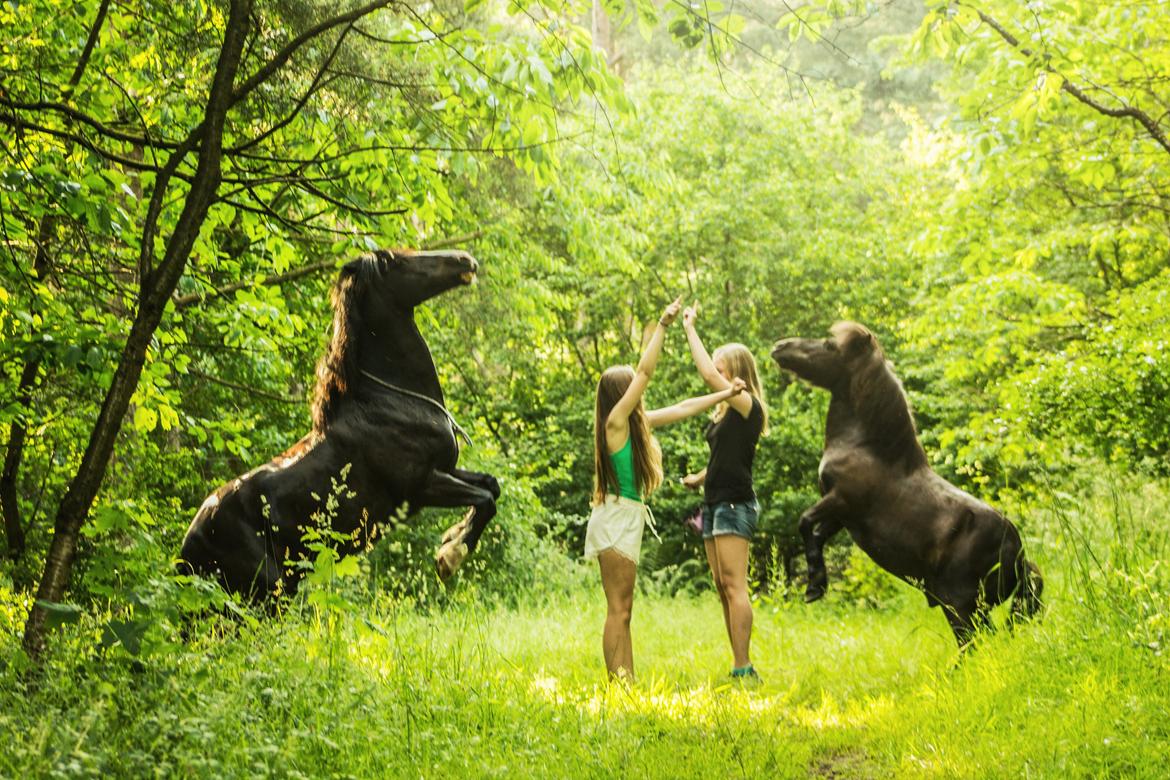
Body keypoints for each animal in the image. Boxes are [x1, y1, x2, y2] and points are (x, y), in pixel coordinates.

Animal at [180, 249, 500, 598]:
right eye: (397, 261)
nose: (464, 259)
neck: (392, 402)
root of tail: (188, 545)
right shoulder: (423, 486)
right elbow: (485, 499)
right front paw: (448, 557)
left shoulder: (446, 469)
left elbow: (491, 486)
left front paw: (450, 538)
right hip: (267, 589)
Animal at [772, 320, 1038, 645]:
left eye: (829, 345)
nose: (780, 347)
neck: (866, 447)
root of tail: (1018, 552)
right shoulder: (842, 514)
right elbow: (818, 534)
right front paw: (816, 584)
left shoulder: (841, 499)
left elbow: (805, 521)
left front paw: (814, 587)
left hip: (960, 605)